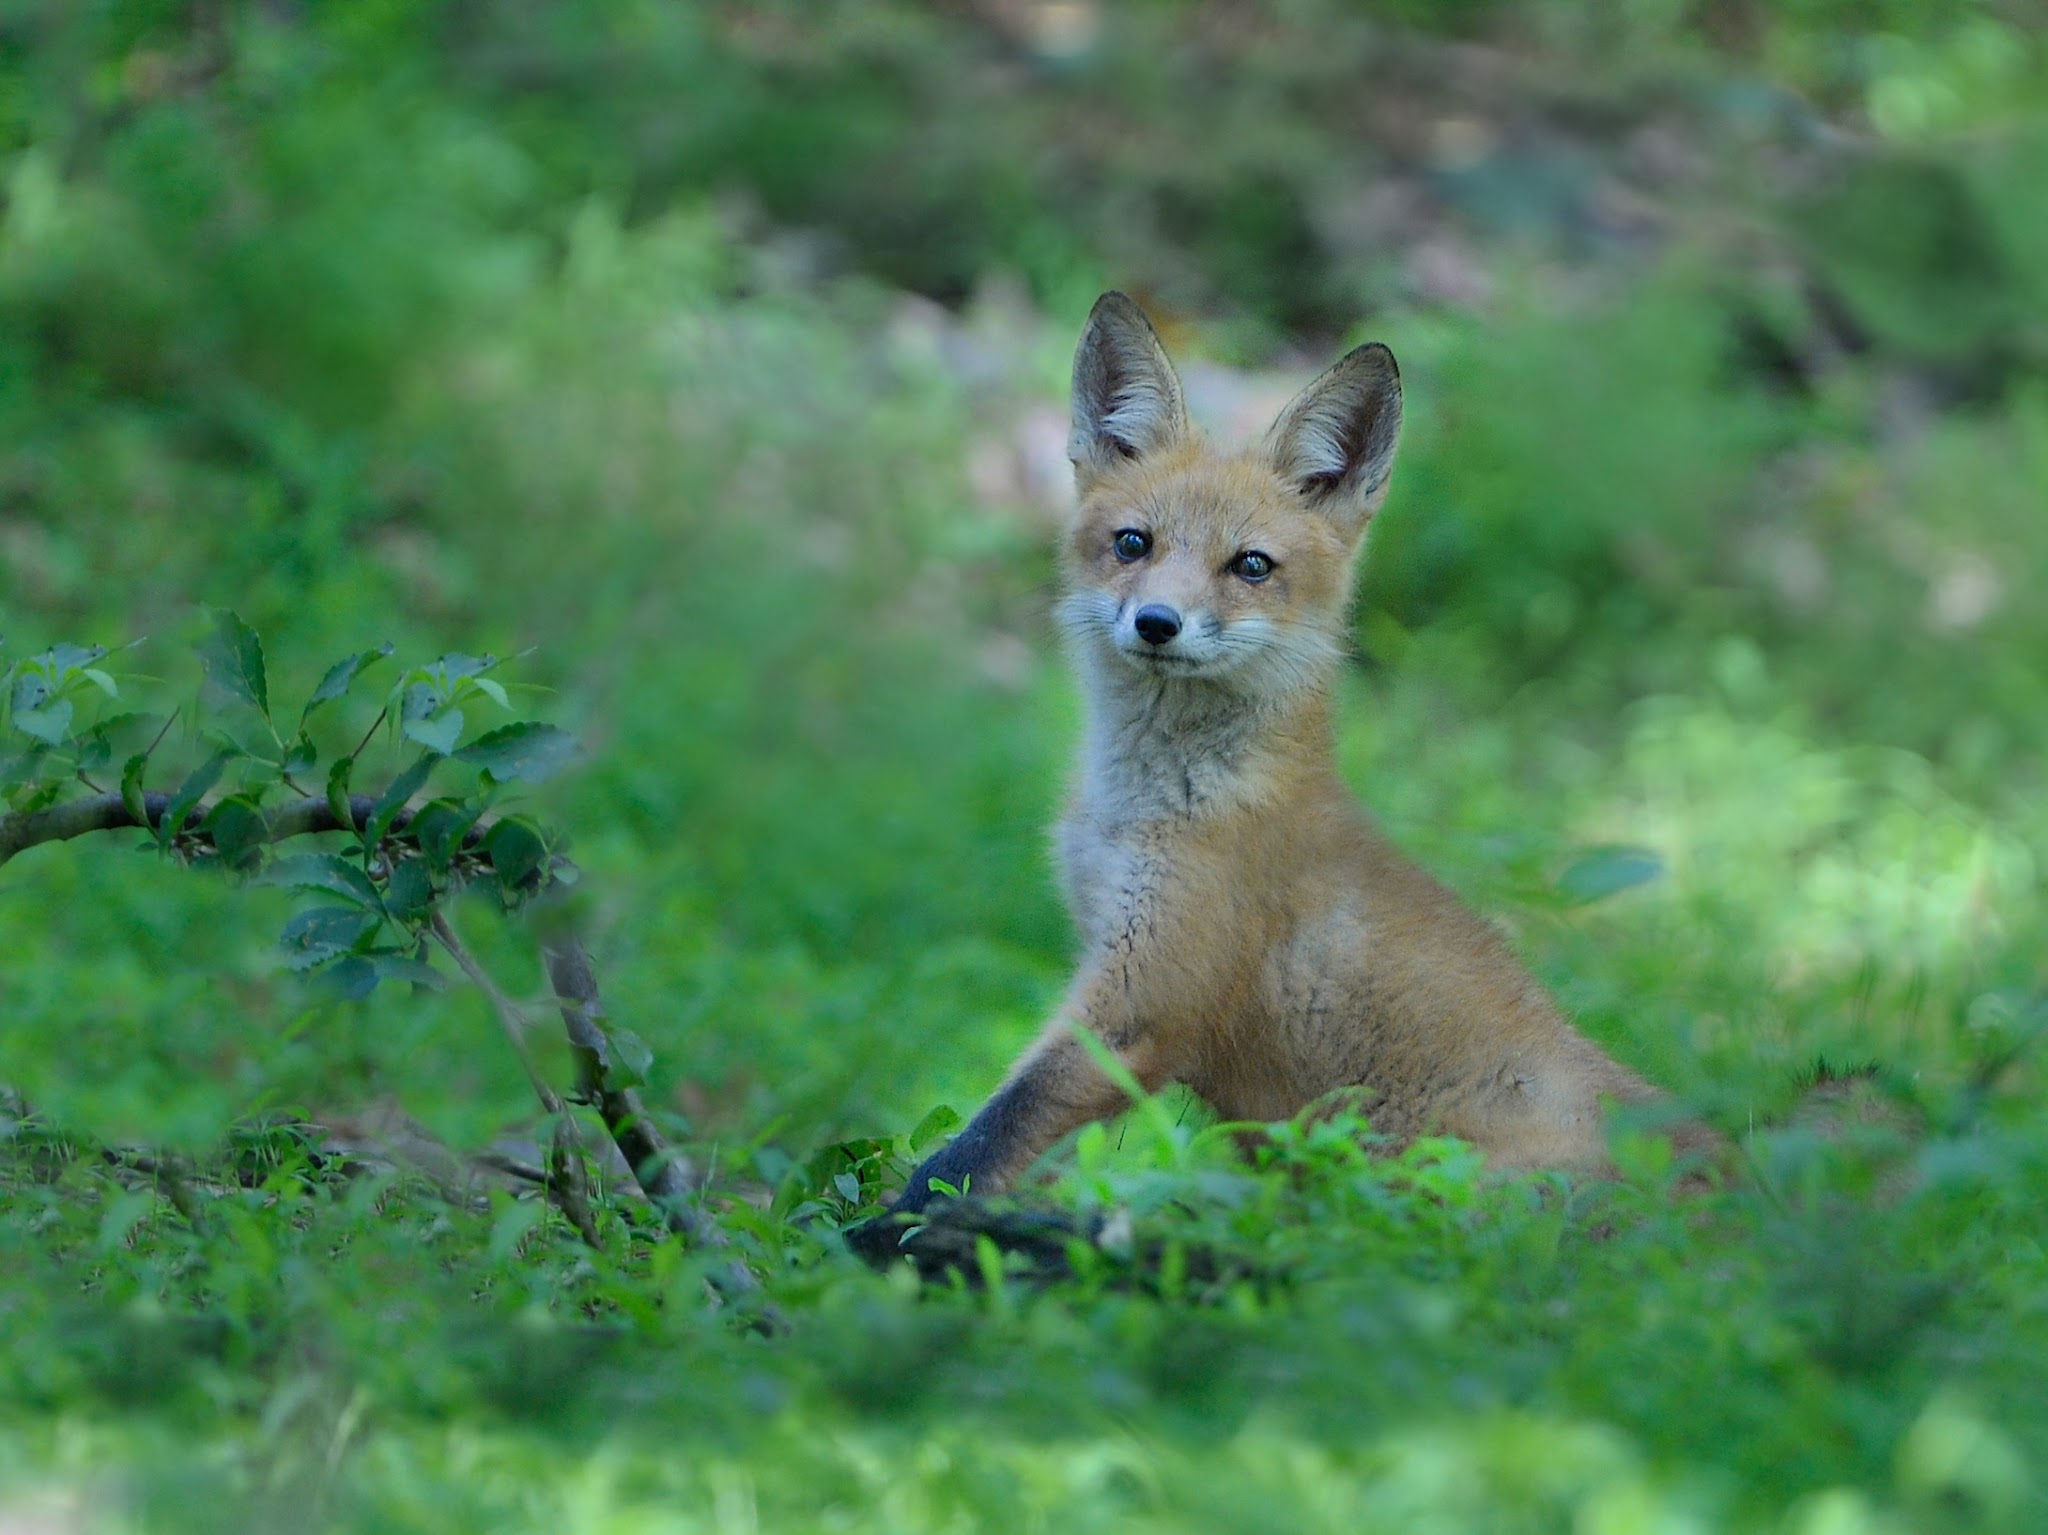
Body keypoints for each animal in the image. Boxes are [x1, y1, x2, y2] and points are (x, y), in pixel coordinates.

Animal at [865, 292, 1716, 1239]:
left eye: (1250, 566)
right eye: (1133, 543)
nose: (1157, 623)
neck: (1151, 805)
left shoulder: (1140, 1003)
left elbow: (981, 1142)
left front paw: (880, 1232)